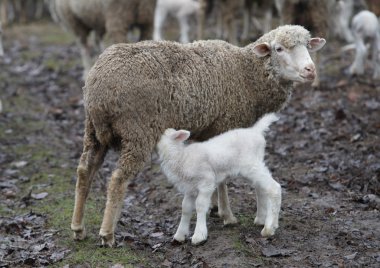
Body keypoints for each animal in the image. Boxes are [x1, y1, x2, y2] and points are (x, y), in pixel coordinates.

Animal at [156, 113, 280, 245]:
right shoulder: (190, 188)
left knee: (274, 187)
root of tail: (256, 131)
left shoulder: (206, 181)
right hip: (255, 163)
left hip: (251, 164)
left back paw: (269, 228)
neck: (181, 157)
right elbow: (185, 208)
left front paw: (199, 235)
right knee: (260, 188)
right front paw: (179, 235)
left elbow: (200, 205)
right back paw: (261, 219)